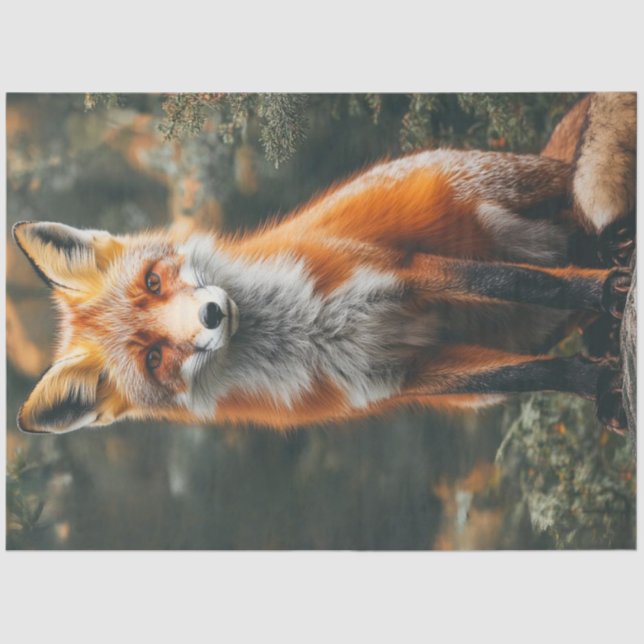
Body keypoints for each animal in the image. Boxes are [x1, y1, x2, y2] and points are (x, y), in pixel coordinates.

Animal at [12, 93, 636, 435]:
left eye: (153, 280)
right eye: (154, 358)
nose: (213, 315)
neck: (302, 330)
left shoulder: (404, 270)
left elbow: (529, 283)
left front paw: (606, 290)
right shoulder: (404, 374)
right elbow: (534, 374)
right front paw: (596, 378)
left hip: (500, 199)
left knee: (573, 215)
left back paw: (608, 257)